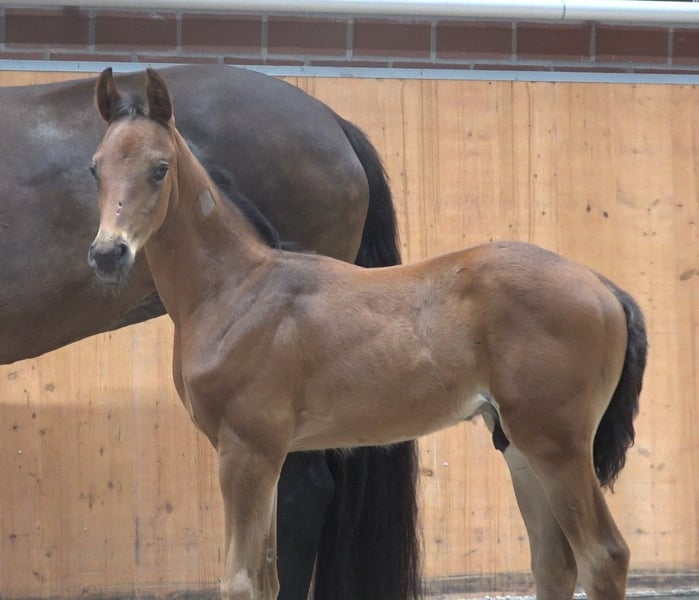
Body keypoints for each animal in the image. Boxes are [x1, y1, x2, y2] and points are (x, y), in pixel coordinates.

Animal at [87, 67, 648, 600]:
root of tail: (603, 286)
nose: (108, 254)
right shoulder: (269, 455)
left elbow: (241, 581)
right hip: (517, 447)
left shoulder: (247, 449)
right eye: (95, 167)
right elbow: (268, 579)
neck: (236, 289)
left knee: (603, 557)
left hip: (558, 444)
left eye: (159, 168)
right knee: (554, 563)